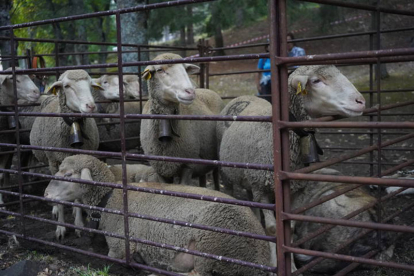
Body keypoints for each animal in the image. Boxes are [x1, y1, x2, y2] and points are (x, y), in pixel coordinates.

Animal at [29, 69, 102, 239]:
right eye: (67, 86)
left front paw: (79, 224)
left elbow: (78, 193)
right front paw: (61, 228)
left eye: (90, 84)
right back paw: (55, 209)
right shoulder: (54, 161)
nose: (90, 106)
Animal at [44, 154, 272, 274]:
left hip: (211, 245)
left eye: (69, 174)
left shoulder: (119, 247)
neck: (112, 197)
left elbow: (114, 256)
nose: (45, 194)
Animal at [141, 52, 225, 185]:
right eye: (160, 70)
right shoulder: (159, 167)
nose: (190, 92)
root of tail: (206, 89)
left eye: (185, 69)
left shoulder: (188, 166)